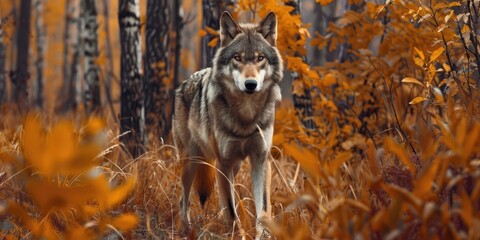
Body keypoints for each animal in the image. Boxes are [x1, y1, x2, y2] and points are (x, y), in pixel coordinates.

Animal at [172, 10, 284, 236]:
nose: (251, 84)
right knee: (183, 199)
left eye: (260, 58)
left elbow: (263, 211)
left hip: (236, 165)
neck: (246, 116)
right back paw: (186, 229)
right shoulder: (223, 162)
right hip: (191, 161)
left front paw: (263, 235)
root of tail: (184, 83)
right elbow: (231, 214)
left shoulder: (261, 158)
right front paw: (236, 235)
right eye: (237, 57)